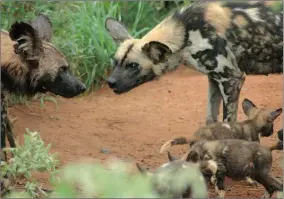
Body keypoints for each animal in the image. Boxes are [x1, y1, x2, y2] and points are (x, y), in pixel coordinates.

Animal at [104, 0, 282, 123]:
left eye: (133, 66)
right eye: (115, 62)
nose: (110, 82)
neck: (185, 32)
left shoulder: (232, 79)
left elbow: (229, 125)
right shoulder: (215, 80)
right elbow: (210, 122)